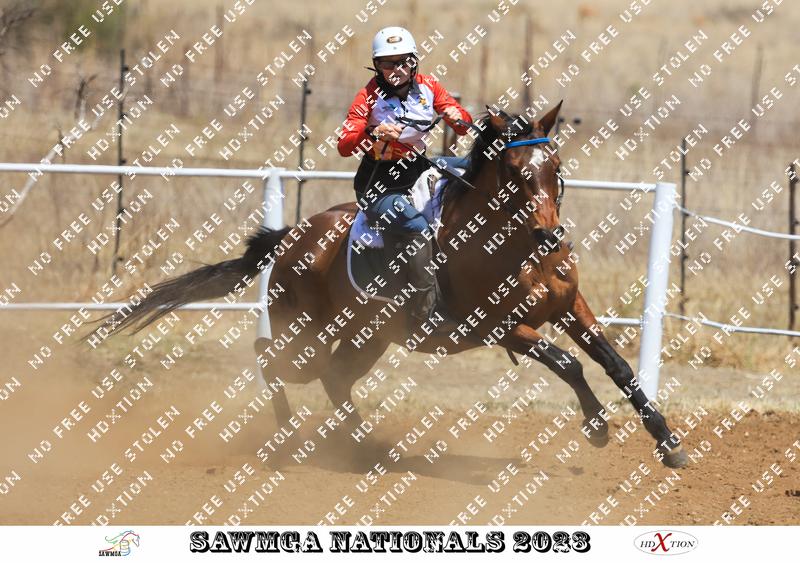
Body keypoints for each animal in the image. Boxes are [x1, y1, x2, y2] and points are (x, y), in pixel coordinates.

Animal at [92, 101, 688, 470]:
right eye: (515, 173)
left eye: (555, 166)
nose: (551, 236)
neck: (509, 247)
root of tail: (292, 238)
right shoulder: (499, 327)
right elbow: (568, 364)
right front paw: (597, 426)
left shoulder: (572, 307)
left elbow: (619, 367)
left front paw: (669, 443)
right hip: (305, 334)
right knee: (269, 356)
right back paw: (292, 438)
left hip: (366, 339)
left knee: (333, 379)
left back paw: (363, 447)